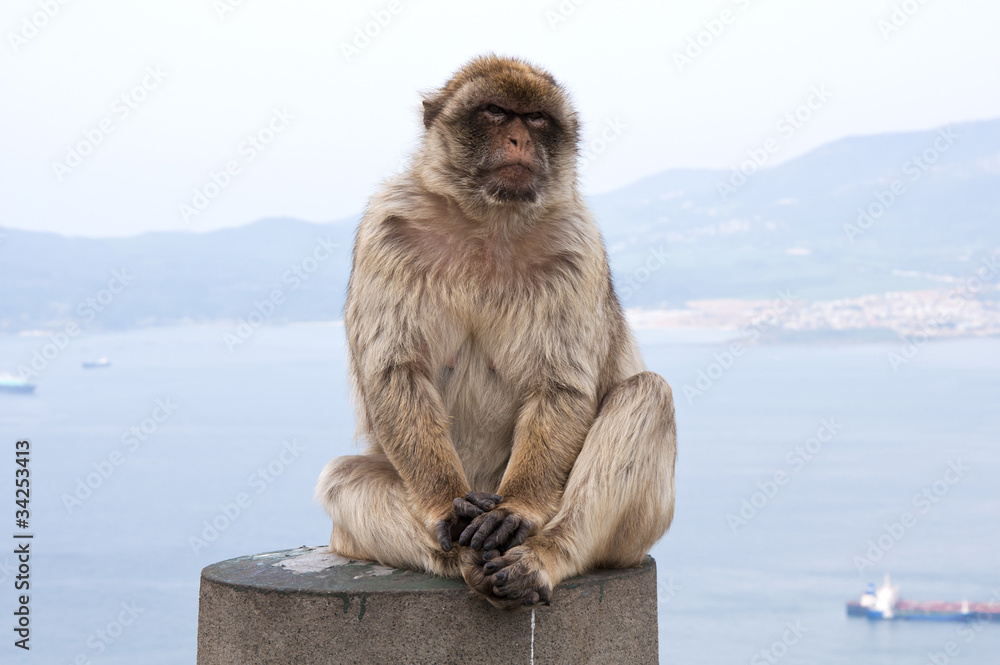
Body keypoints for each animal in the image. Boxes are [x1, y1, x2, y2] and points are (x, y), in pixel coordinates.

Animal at [315, 54, 676, 610]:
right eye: (495, 112)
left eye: (537, 119)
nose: (518, 139)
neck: (490, 220)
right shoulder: (387, 227)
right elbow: (396, 372)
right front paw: (447, 509)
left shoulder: (577, 242)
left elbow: (560, 384)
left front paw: (519, 511)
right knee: (342, 478)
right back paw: (465, 556)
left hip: (635, 534)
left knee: (648, 395)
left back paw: (540, 557)